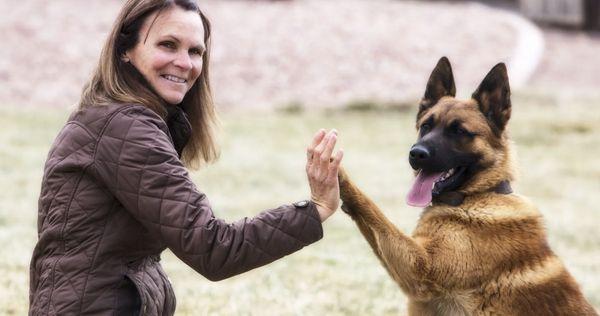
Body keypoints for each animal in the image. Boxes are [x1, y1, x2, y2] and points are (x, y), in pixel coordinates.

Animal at [338, 57, 596, 316]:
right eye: (425, 126)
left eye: (459, 131)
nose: (416, 154)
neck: (476, 196)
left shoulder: (419, 268)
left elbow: (373, 210)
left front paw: (335, 171)